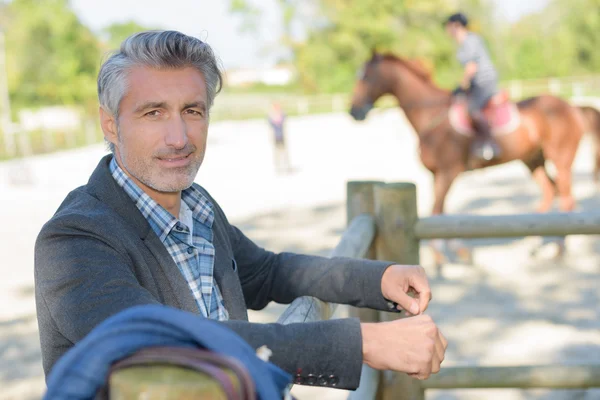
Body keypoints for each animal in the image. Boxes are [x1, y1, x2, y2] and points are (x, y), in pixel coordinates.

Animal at [350, 50, 588, 260]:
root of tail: (572, 107)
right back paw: (535, 243)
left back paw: (559, 247)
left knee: (566, 197)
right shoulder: (437, 174)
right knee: (550, 192)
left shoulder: (449, 172)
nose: (354, 111)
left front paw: (442, 256)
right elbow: (442, 212)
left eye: (366, 77)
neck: (432, 116)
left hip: (561, 159)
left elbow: (437, 210)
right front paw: (459, 251)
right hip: (533, 160)